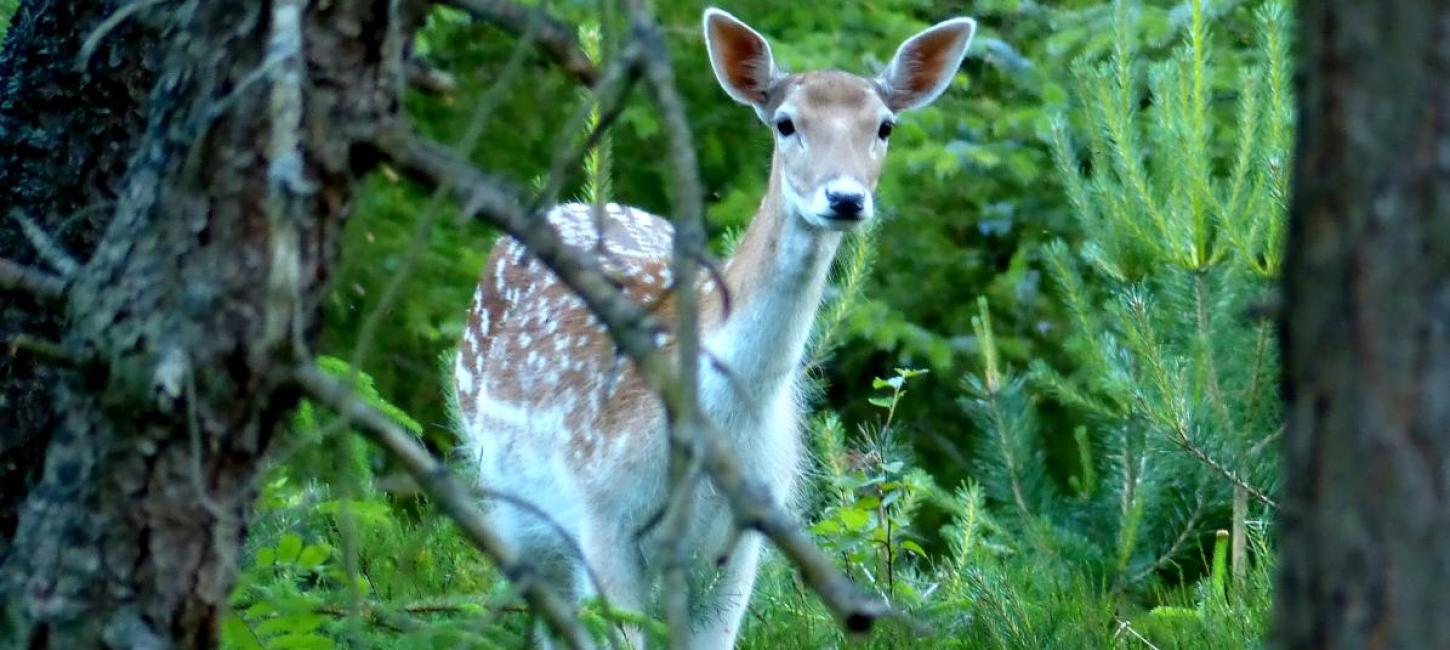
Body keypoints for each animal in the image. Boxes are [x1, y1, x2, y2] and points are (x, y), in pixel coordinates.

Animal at [452, 7, 974, 647]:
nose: (846, 198)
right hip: (510, 498)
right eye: (785, 123)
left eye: (885, 127)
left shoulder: (745, 534)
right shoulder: (599, 513)